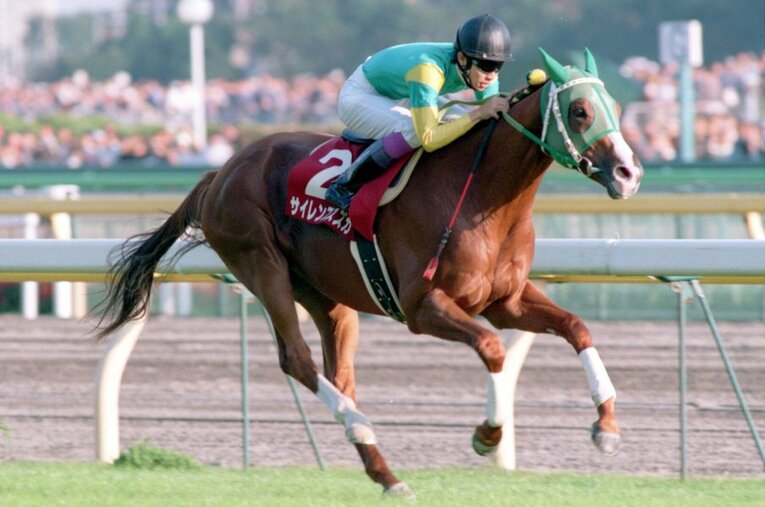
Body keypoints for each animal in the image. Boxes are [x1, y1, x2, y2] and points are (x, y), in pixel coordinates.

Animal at [95, 48, 643, 498]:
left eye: (614, 105)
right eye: (579, 110)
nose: (629, 173)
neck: (483, 194)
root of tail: (220, 172)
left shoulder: (503, 301)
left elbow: (576, 327)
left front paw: (607, 426)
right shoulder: (423, 306)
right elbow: (492, 349)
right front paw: (487, 435)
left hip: (326, 295)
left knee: (340, 373)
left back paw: (386, 473)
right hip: (260, 262)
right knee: (297, 360)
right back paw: (362, 429)